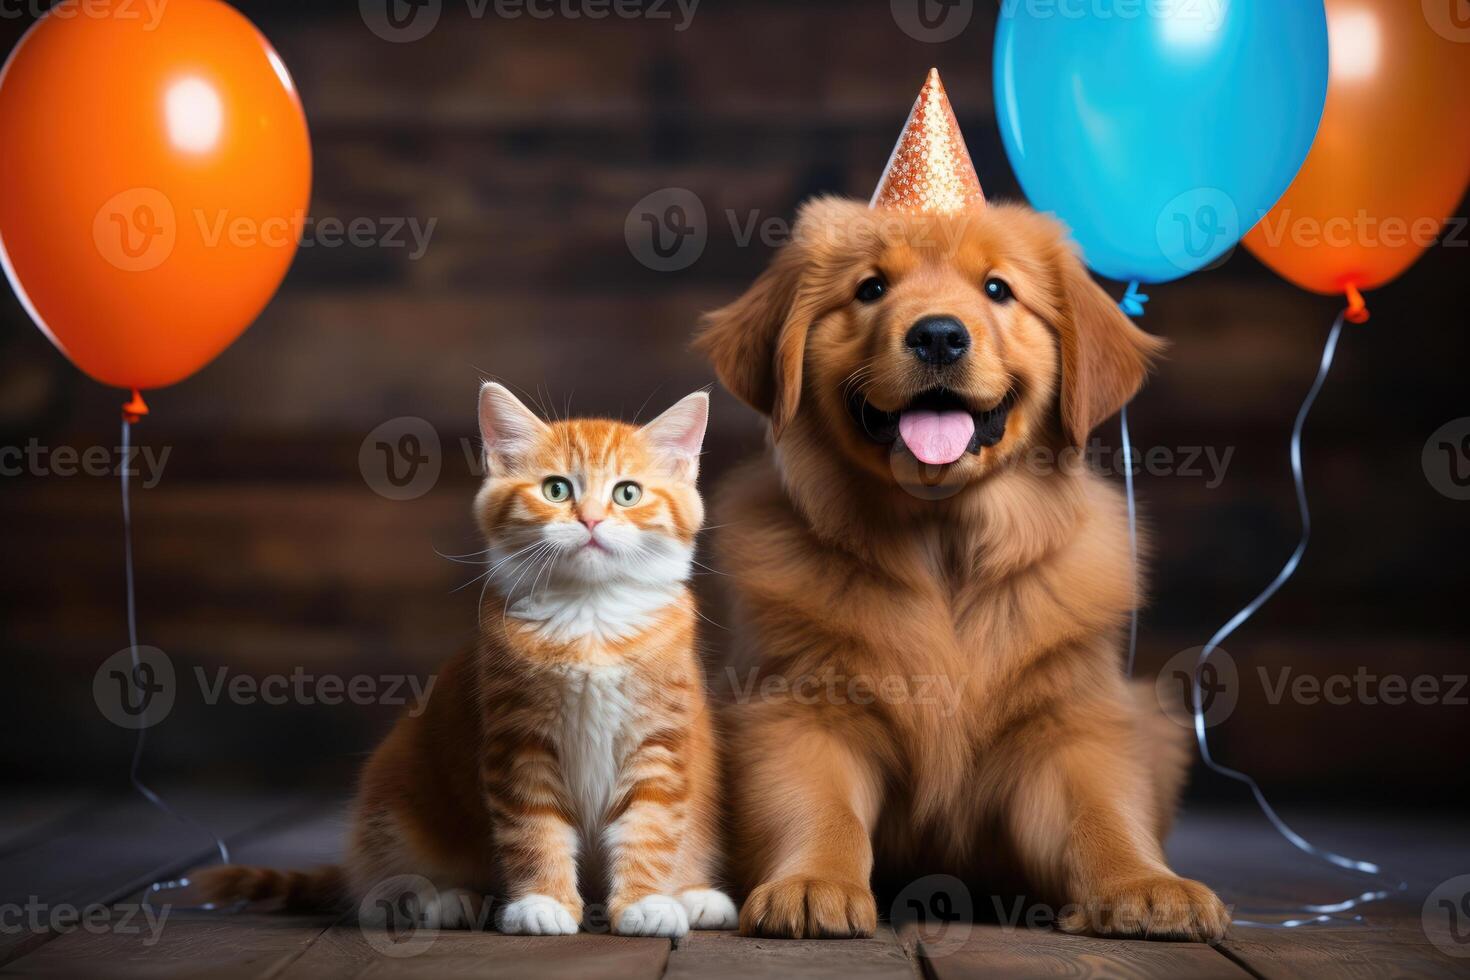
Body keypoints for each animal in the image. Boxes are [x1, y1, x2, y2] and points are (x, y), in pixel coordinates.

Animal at [198, 382, 735, 934]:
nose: (590, 519)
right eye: (556, 490)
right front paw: (542, 901)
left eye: (627, 492)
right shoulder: (516, 741)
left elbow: (650, 824)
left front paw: (643, 902)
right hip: (394, 798)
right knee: (377, 888)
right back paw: (445, 899)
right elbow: (534, 828)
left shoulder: (661, 741)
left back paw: (694, 895)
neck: (591, 620)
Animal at [693, 199, 1223, 940]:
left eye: (998, 289)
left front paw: (1145, 885)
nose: (939, 336)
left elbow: (1103, 811)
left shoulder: (1070, 721)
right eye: (871, 288)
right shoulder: (797, 709)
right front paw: (812, 882)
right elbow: (819, 808)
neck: (943, 546)